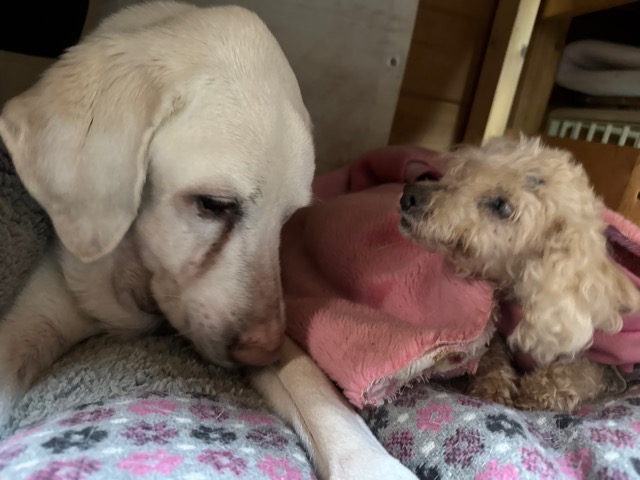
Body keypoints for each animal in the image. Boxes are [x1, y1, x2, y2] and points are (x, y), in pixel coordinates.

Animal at [0, 3, 416, 478]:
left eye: (287, 220)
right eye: (215, 203)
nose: (262, 353)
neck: (139, 279)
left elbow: (311, 384)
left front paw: (368, 462)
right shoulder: (40, 312)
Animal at [399, 135, 640, 412]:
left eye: (502, 206)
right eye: (464, 173)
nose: (408, 195)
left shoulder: (605, 366)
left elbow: (577, 372)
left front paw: (534, 393)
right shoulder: (496, 336)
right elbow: (492, 355)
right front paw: (494, 387)